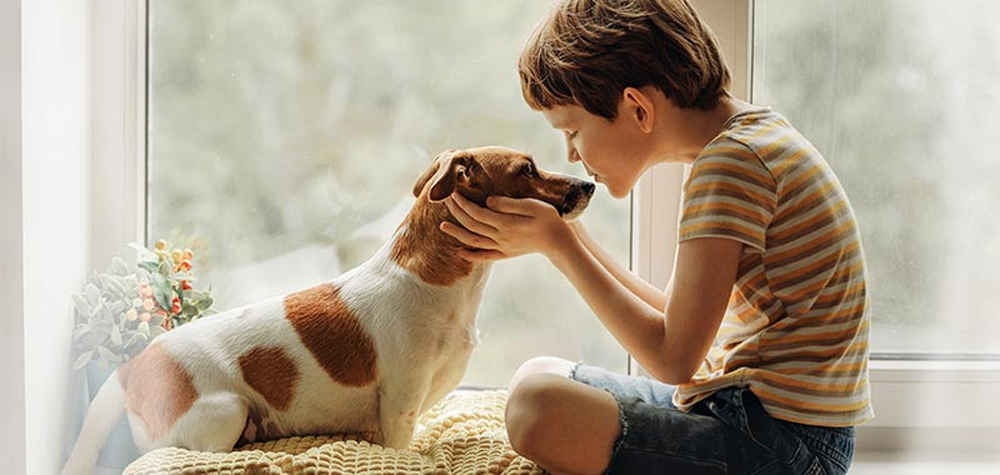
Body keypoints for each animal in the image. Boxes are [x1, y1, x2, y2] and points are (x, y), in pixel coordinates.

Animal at [64, 146, 592, 475]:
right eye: (527, 169)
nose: (589, 183)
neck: (439, 283)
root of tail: (133, 368)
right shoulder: (400, 406)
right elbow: (404, 444)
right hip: (225, 412)